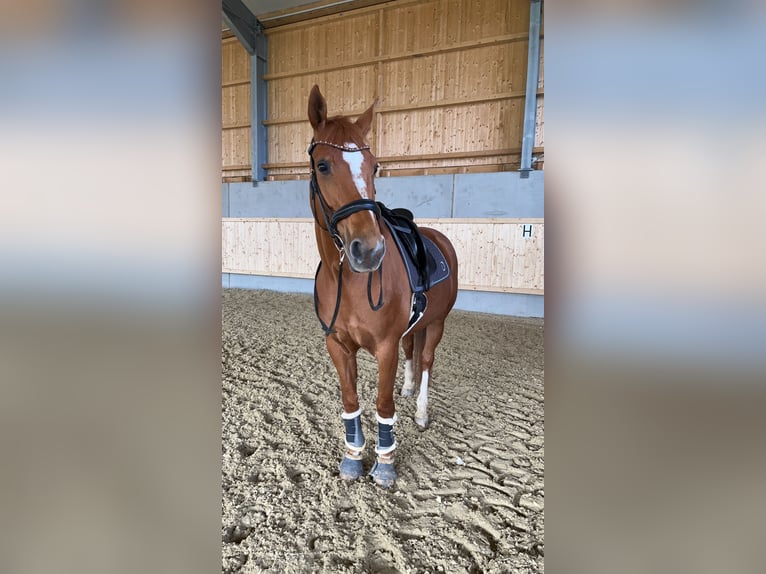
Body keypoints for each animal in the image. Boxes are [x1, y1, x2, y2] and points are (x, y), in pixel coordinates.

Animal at [307, 85, 459, 487]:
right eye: (323, 165)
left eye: (374, 166)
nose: (370, 250)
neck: (347, 280)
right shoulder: (337, 344)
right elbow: (350, 401)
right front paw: (353, 457)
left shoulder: (385, 347)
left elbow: (382, 403)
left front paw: (386, 463)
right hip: (415, 325)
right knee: (412, 352)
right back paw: (408, 386)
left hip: (437, 324)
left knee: (426, 361)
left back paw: (420, 411)